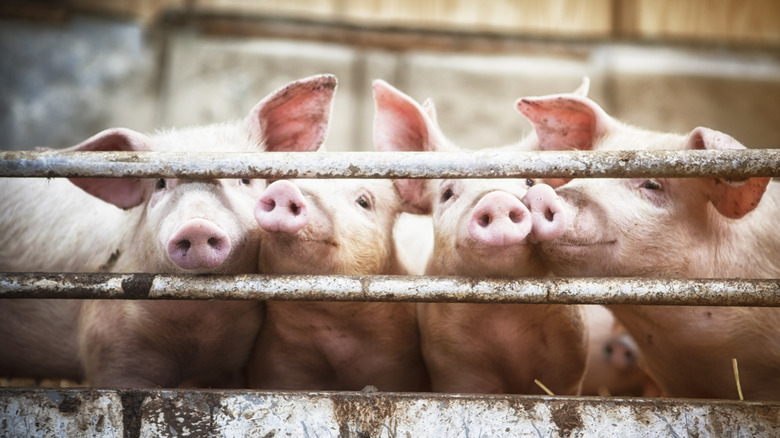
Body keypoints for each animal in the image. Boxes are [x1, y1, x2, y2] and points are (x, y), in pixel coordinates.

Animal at [372, 79, 588, 395]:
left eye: (529, 181)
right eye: (447, 193)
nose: (496, 199)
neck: (504, 316)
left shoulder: (570, 361)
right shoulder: (453, 364)